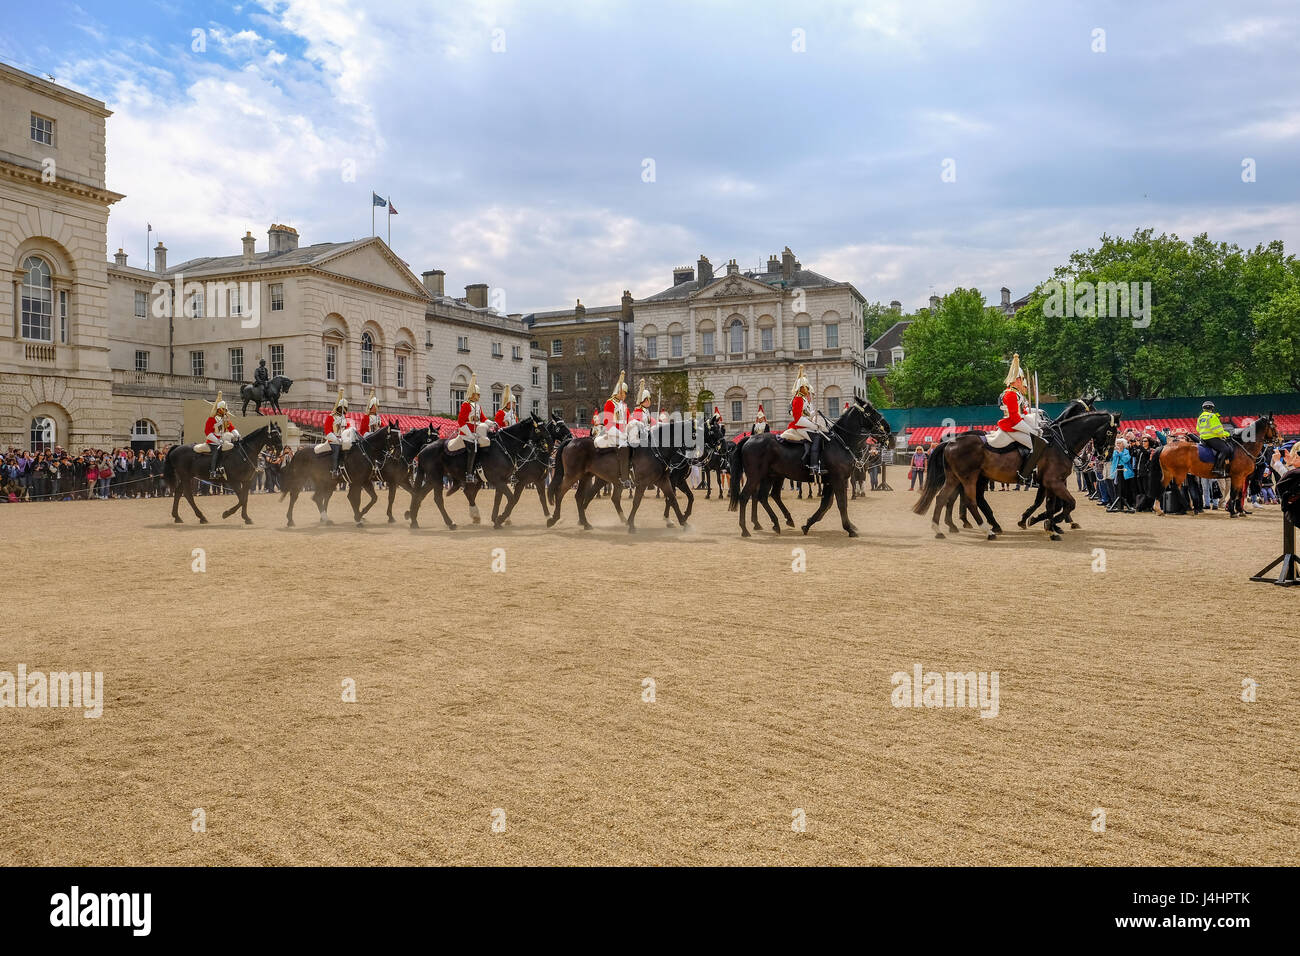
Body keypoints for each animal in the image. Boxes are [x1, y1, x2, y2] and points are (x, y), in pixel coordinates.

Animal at [733, 398, 894, 538]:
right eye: (871, 412)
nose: (888, 430)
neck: (841, 442)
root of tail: (750, 438)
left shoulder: (831, 481)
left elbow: (826, 504)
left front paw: (808, 524)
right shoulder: (837, 479)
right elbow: (841, 504)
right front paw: (849, 529)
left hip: (771, 476)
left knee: (765, 496)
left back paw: (779, 523)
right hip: (755, 476)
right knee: (745, 496)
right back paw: (745, 529)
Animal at [1149, 411, 1279, 515]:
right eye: (1274, 426)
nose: (1279, 439)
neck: (1242, 448)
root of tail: (1165, 446)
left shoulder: (1241, 477)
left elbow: (1239, 493)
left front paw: (1240, 511)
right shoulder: (1237, 476)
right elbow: (1234, 493)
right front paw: (1233, 512)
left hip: (1168, 472)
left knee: (1163, 485)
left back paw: (1158, 509)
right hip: (1180, 473)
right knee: (1177, 488)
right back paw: (1188, 508)